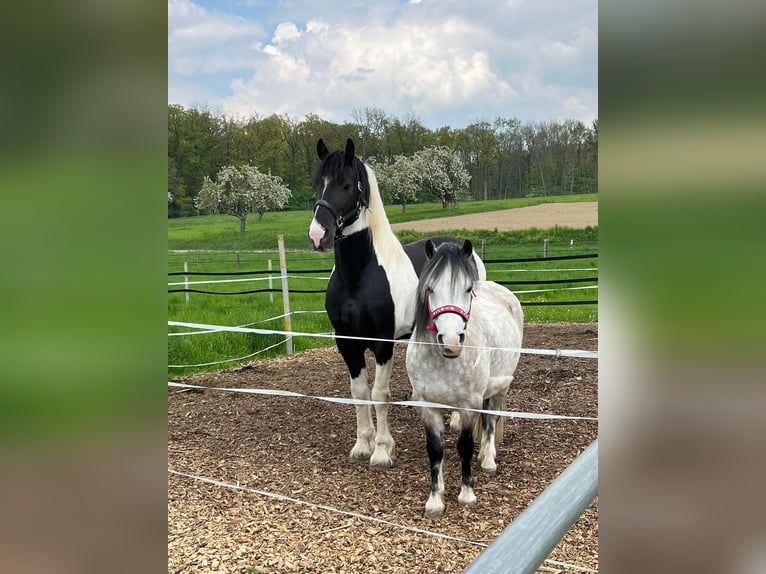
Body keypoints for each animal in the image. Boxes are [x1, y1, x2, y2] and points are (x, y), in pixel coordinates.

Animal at [306, 141, 486, 472]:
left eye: (346, 185)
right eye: (317, 184)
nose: (318, 235)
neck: (359, 276)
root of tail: (461, 249)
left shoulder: (382, 343)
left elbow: (380, 393)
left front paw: (382, 450)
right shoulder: (346, 342)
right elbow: (359, 392)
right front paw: (362, 445)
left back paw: (456, 419)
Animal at [408, 241, 520, 520]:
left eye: (467, 289)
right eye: (430, 288)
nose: (450, 341)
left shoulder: (469, 404)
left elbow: (465, 446)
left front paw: (467, 494)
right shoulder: (426, 406)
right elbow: (435, 450)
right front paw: (435, 500)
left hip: (501, 388)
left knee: (491, 419)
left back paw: (488, 459)